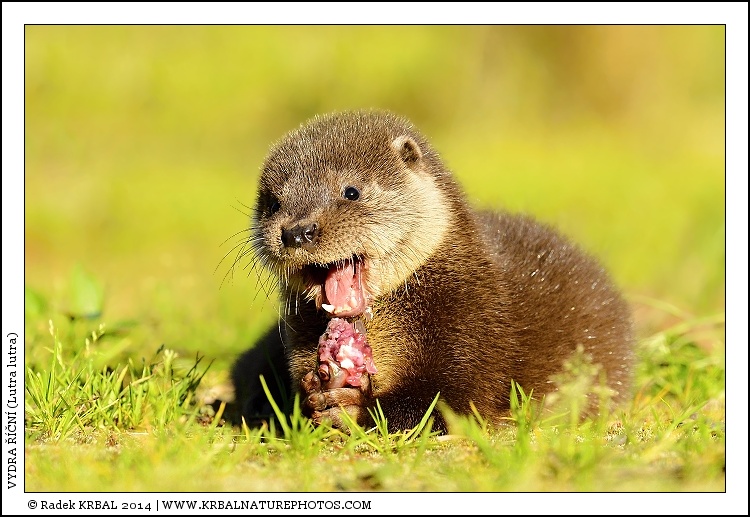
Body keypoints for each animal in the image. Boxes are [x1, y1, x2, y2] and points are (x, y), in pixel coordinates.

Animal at [230, 110, 633, 432]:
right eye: (273, 202)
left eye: (350, 191)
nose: (297, 231)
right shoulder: (298, 337)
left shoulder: (474, 327)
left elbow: (447, 400)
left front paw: (352, 407)